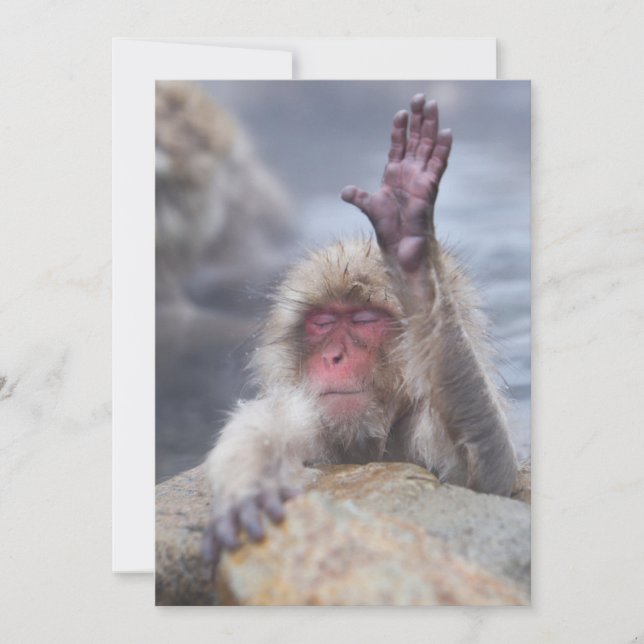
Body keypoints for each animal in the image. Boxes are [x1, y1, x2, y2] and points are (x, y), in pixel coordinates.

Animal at [202, 93, 519, 562]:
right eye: (323, 322)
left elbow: (491, 479)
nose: (335, 356)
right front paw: (249, 491)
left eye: (365, 320)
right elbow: (261, 428)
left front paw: (416, 268)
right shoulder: (307, 419)